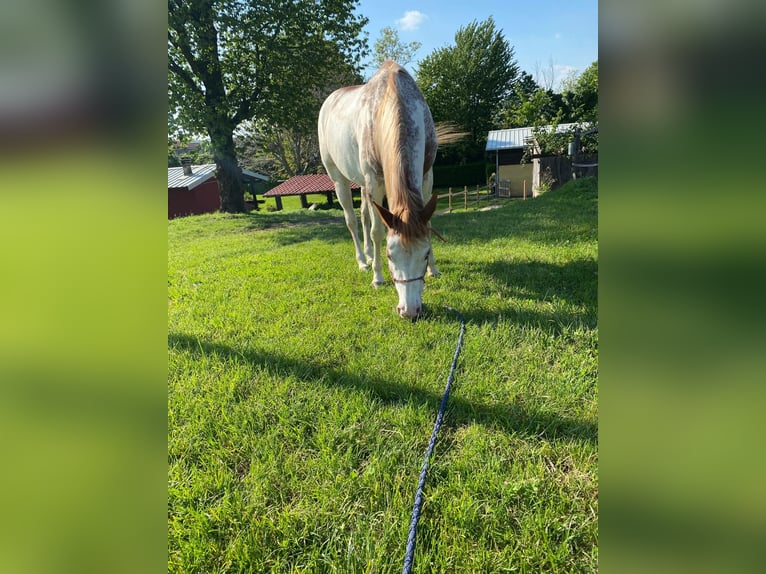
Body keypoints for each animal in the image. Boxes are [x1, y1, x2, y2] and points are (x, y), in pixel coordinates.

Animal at [316, 61, 438, 322]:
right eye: (391, 256)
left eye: (424, 255)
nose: (409, 311)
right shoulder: (375, 181)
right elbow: (377, 232)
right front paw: (378, 277)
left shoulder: (427, 176)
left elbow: (429, 224)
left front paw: (434, 269)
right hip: (340, 179)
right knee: (352, 220)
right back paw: (364, 262)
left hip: (362, 183)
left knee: (363, 215)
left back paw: (370, 255)